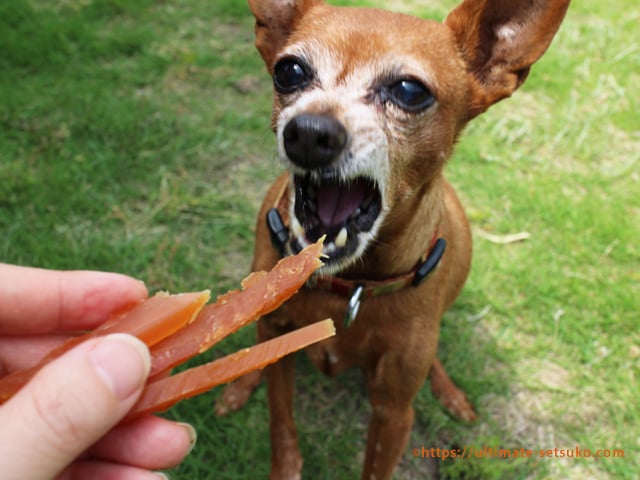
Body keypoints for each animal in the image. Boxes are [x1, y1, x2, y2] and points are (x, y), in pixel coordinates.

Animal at [219, 1, 568, 478]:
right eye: (289, 71)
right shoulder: (279, 347)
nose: (308, 132)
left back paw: (450, 392)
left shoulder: (394, 411)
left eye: (409, 90)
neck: (347, 285)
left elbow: (376, 465)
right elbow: (281, 421)